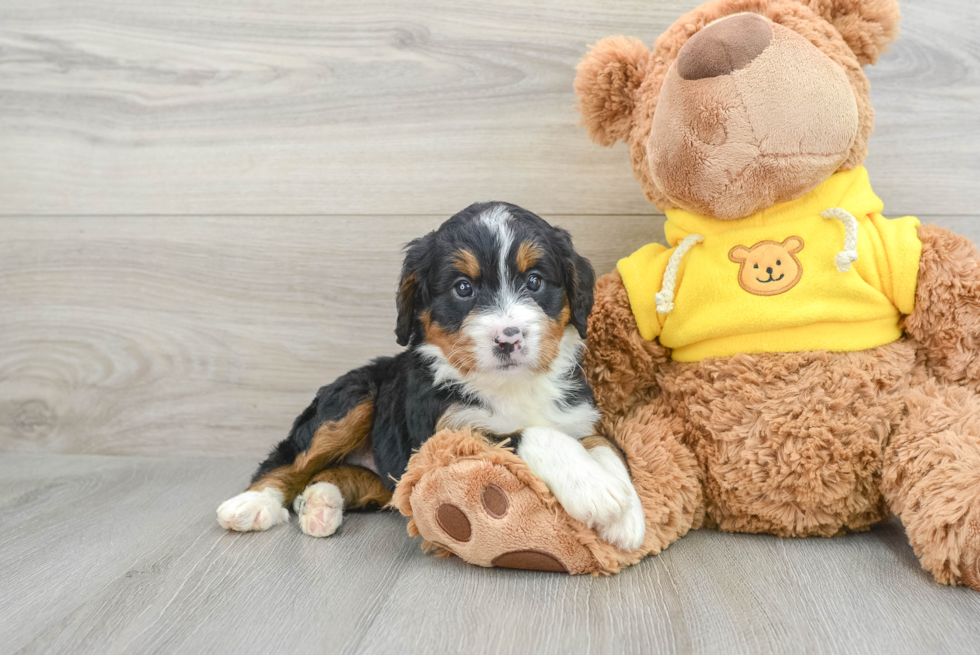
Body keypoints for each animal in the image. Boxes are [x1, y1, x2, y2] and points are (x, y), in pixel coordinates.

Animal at [218, 202, 648, 552]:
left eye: (535, 281)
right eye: (463, 288)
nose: (508, 338)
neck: (512, 385)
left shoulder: (578, 416)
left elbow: (604, 446)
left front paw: (627, 514)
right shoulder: (448, 437)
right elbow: (531, 434)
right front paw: (593, 489)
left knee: (339, 475)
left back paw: (319, 504)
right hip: (352, 398)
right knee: (289, 459)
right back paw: (252, 503)